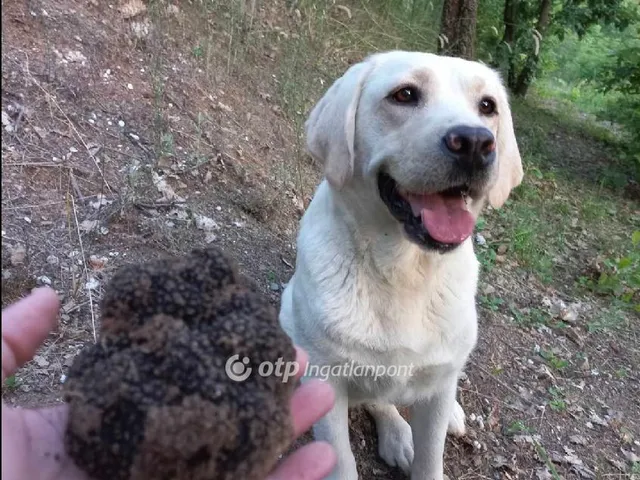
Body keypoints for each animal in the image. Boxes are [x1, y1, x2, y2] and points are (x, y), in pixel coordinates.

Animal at [280, 50, 520, 478]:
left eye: (487, 106)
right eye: (404, 94)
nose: (476, 143)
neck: (404, 272)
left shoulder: (437, 388)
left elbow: (430, 458)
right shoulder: (327, 382)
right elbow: (341, 461)